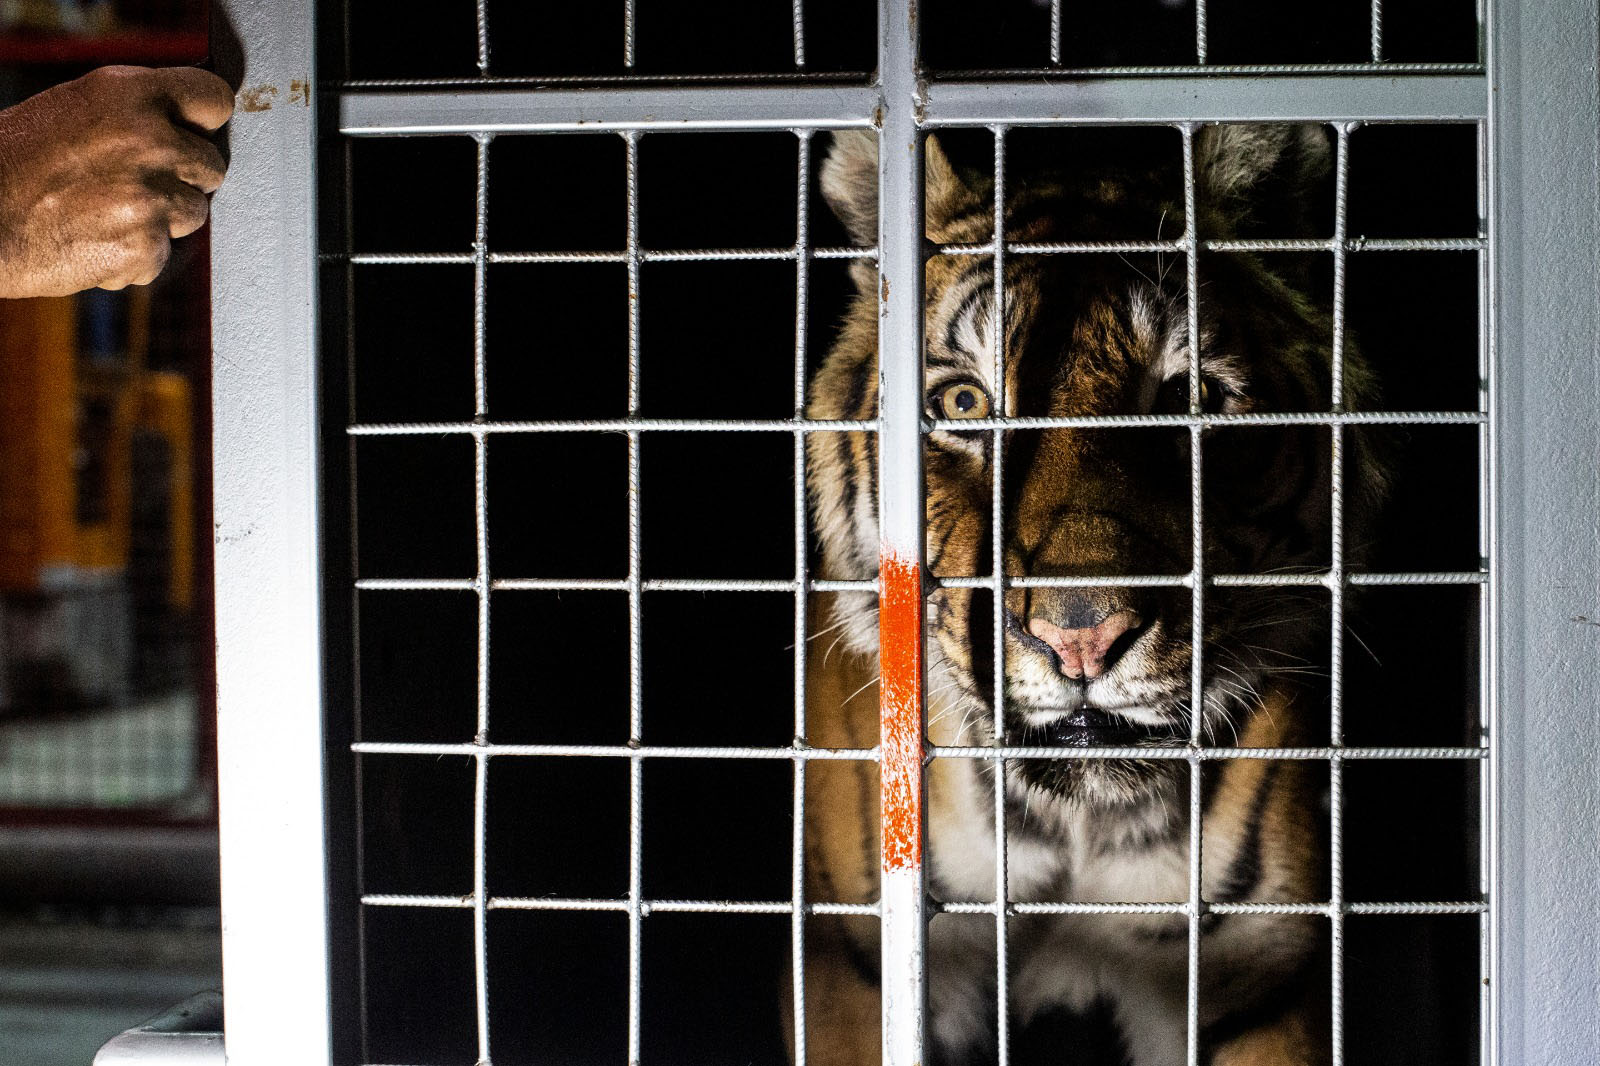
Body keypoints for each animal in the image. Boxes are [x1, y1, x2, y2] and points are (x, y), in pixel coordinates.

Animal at [793, 126, 1382, 1062]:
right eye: (965, 402)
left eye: (1188, 399)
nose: (1080, 637)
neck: (1076, 824)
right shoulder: (855, 974)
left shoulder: (1257, 984)